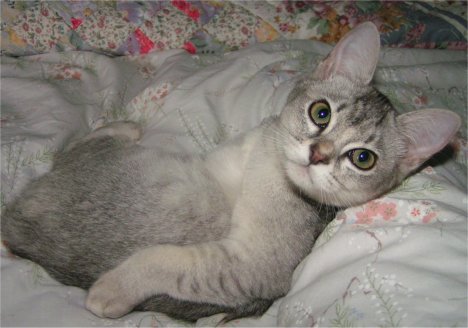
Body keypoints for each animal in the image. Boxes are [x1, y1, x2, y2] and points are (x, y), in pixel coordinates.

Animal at [0, 23, 460, 322]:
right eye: (321, 112)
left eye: (362, 159)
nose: (318, 154)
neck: (266, 163)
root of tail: (16, 222)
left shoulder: (250, 268)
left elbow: (167, 260)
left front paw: (113, 290)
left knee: (75, 150)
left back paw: (122, 129)